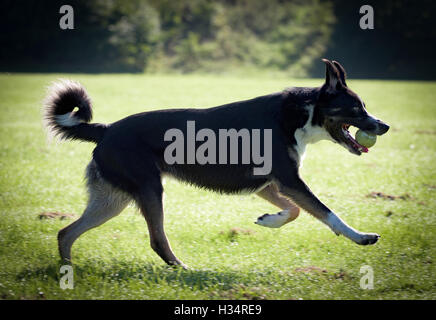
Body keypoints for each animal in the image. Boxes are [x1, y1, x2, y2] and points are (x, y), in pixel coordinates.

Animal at [44, 59, 390, 268]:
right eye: (356, 109)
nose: (384, 126)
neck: (300, 115)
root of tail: (106, 129)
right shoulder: (290, 181)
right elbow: (328, 213)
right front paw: (361, 237)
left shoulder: (269, 184)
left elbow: (293, 211)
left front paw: (268, 220)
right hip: (149, 190)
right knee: (157, 239)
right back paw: (182, 269)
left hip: (112, 200)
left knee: (66, 233)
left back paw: (68, 270)